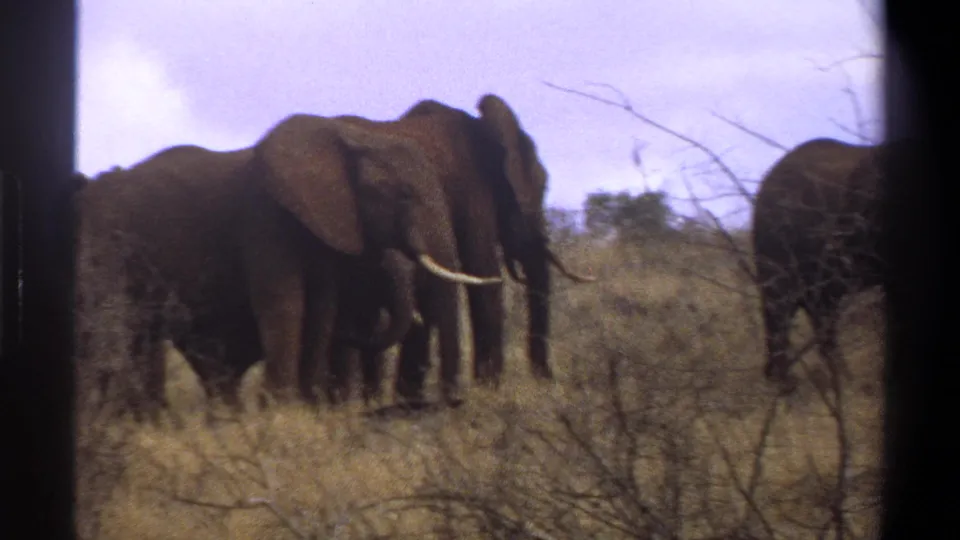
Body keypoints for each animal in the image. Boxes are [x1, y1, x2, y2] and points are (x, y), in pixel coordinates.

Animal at [73, 117, 501, 419]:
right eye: (405, 195)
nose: (455, 402)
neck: (349, 139)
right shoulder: (265, 218)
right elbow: (285, 305)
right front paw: (280, 410)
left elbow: (323, 311)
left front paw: (306, 406)